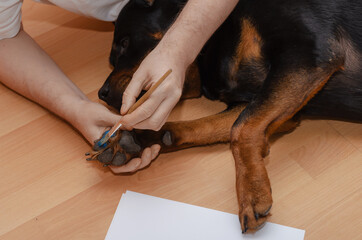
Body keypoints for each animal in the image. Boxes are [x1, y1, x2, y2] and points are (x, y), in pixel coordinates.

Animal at [90, 0, 362, 233]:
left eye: (125, 43)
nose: (101, 93)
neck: (217, 36)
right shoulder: (269, 106)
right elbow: (214, 126)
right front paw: (140, 139)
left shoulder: (308, 55)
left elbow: (240, 129)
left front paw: (251, 193)